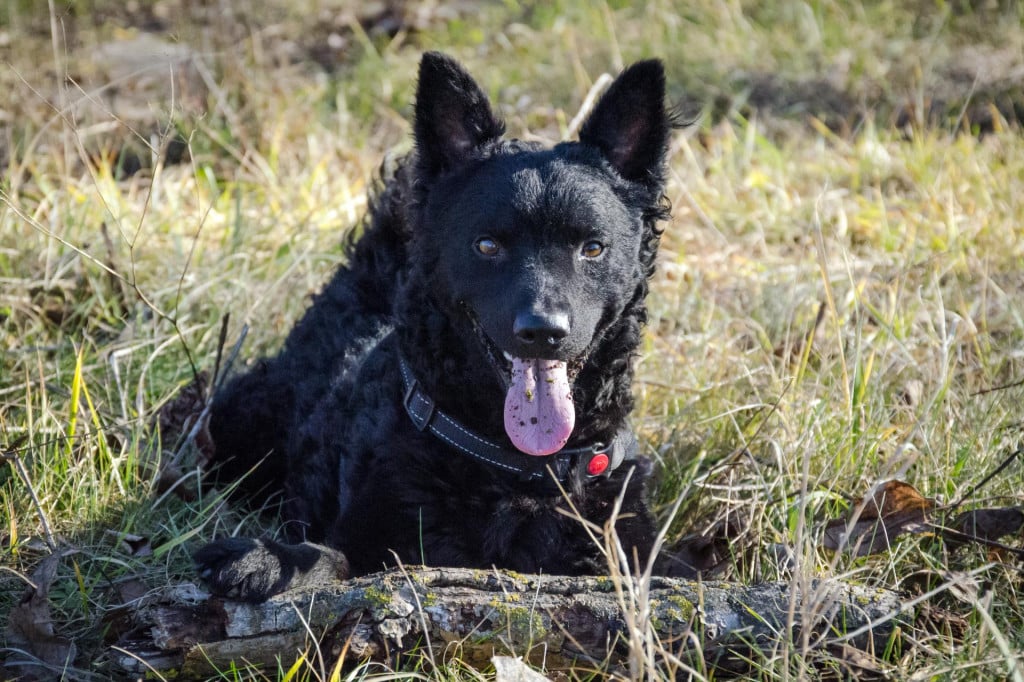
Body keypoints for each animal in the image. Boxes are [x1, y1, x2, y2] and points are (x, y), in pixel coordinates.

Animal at [196, 53, 679, 602]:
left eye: (592, 248)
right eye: (487, 245)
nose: (543, 330)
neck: (519, 471)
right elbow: (336, 558)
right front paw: (266, 559)